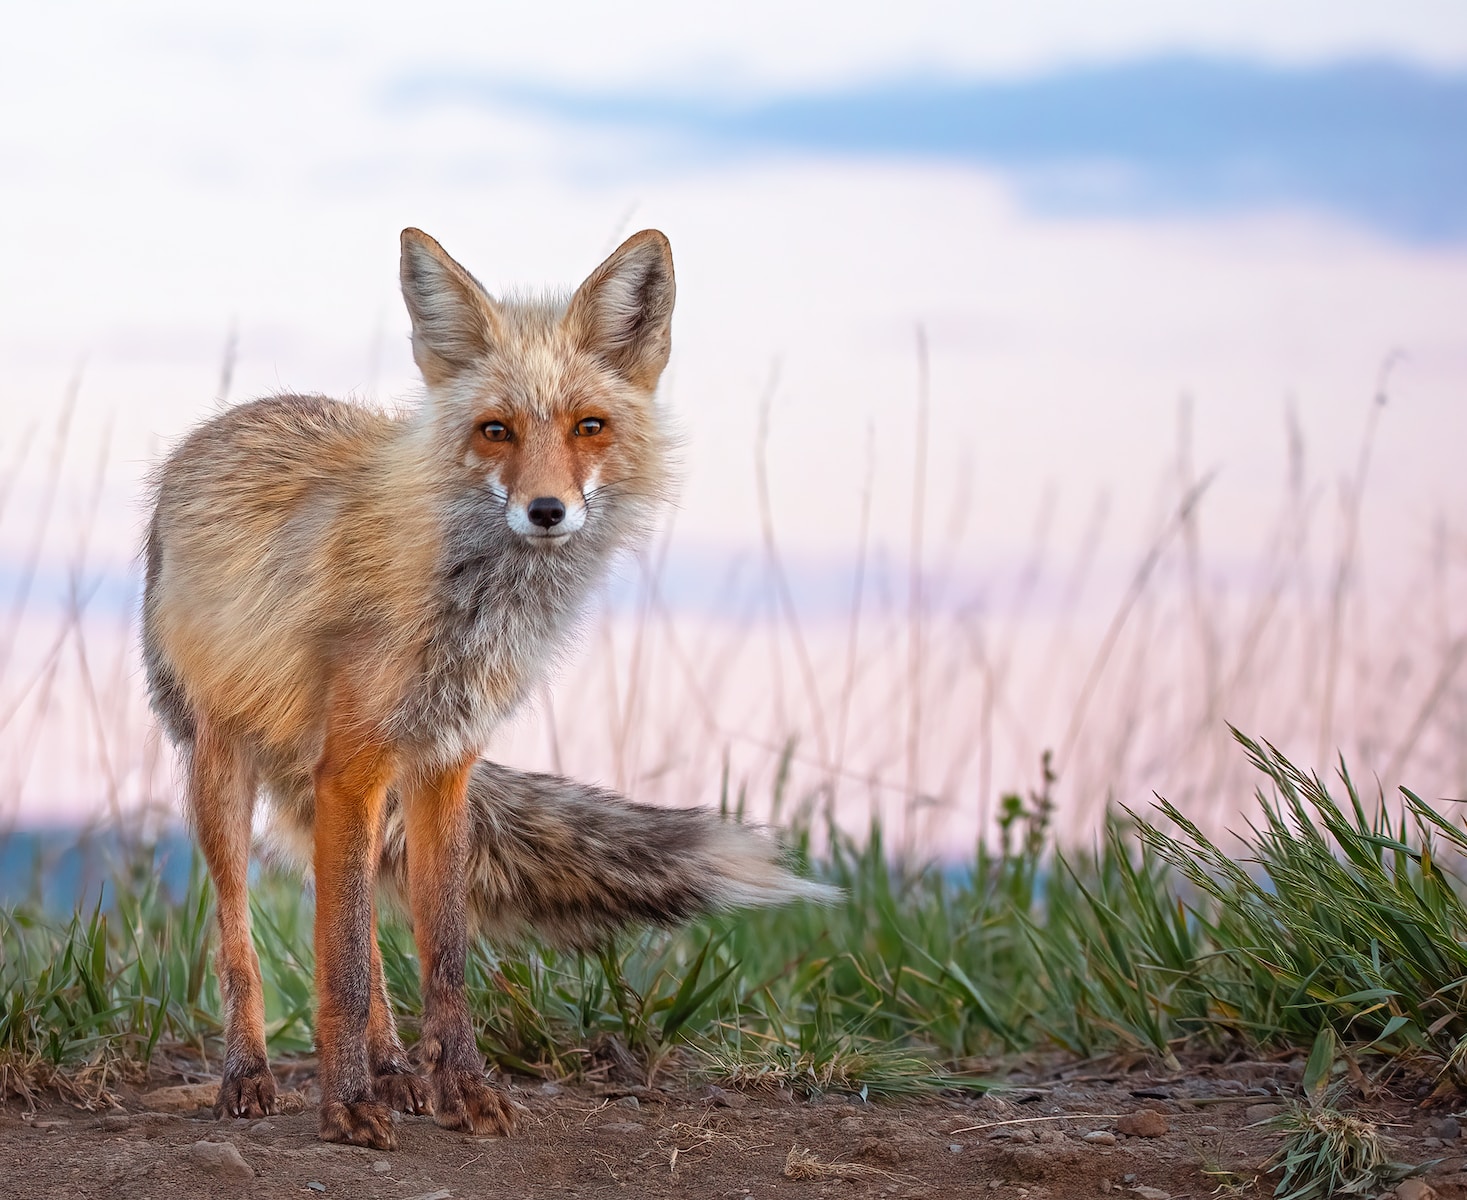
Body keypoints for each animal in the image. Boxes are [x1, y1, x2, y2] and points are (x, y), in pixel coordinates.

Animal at [145, 227, 839, 1150]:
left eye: (589, 427)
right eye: (495, 431)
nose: (547, 511)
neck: (472, 607)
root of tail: (220, 423)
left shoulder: (442, 765)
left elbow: (439, 954)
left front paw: (459, 1091)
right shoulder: (352, 766)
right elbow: (342, 968)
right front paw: (345, 1106)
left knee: (369, 930)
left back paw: (395, 1070)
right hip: (224, 765)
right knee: (241, 939)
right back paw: (250, 1075)